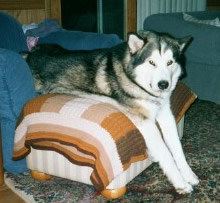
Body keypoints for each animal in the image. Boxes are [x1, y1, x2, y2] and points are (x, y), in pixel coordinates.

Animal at [24, 30, 199, 193]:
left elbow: (177, 147)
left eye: (170, 62)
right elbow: (166, 153)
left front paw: (188, 175)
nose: (164, 84)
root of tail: (30, 54)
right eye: (151, 62)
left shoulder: (165, 114)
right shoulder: (145, 121)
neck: (133, 78)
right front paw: (180, 183)